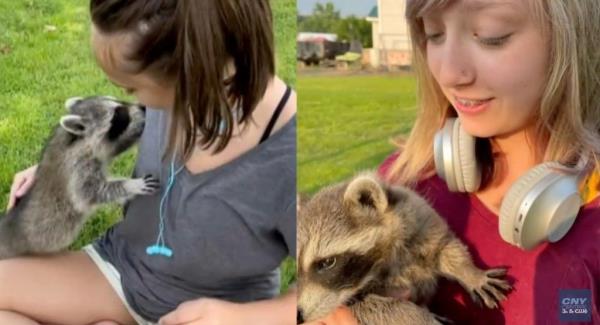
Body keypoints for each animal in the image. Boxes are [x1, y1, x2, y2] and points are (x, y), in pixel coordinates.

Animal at [0, 95, 159, 258]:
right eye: (119, 115)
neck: (76, 140)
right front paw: (132, 185)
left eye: (119, 103)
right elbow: (89, 193)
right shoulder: (77, 167)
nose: (144, 108)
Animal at [296, 172, 510, 322]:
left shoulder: (419, 216)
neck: (383, 261)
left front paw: (470, 273)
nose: (298, 315)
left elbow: (446, 246)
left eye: (327, 262)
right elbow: (375, 308)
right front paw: (419, 318)